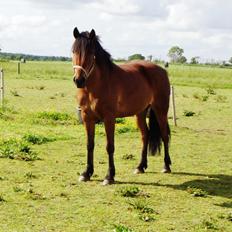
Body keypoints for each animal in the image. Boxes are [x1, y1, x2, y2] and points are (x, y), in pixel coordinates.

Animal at [71, 28, 171, 186]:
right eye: (74, 51)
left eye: (90, 53)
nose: (78, 80)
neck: (96, 85)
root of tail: (162, 70)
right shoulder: (87, 117)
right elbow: (89, 145)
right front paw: (86, 173)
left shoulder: (109, 118)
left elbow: (110, 146)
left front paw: (109, 176)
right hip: (140, 113)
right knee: (145, 135)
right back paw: (140, 166)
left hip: (160, 110)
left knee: (164, 135)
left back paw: (166, 166)